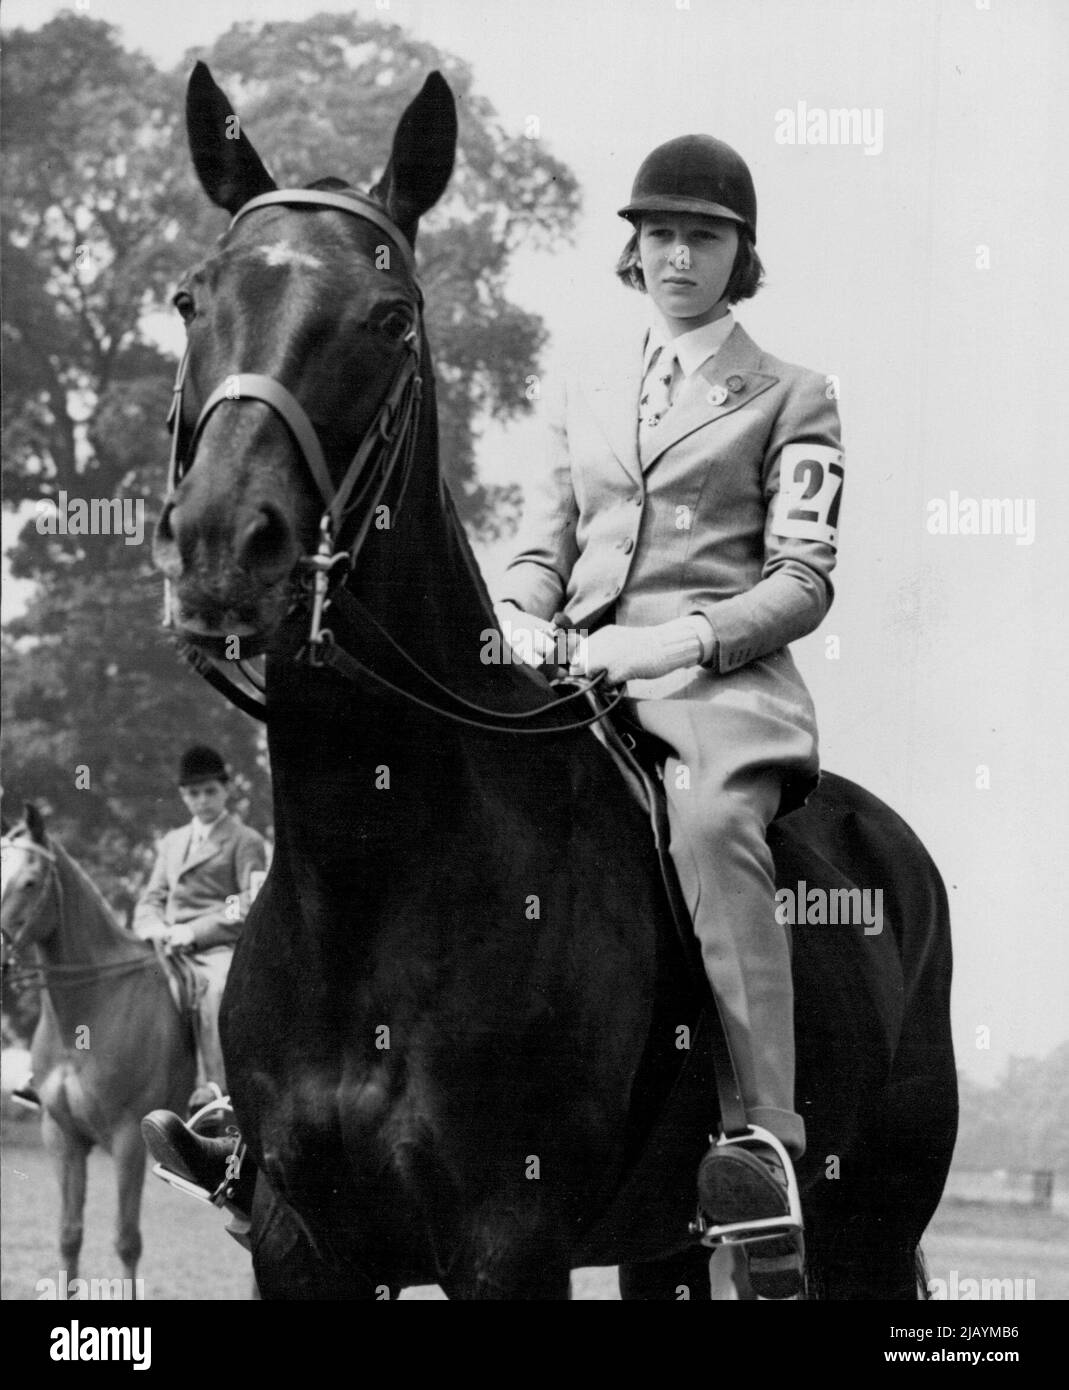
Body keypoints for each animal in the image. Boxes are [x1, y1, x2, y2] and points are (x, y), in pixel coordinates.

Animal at [152, 62, 956, 1301]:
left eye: (391, 318)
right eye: (193, 300)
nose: (221, 550)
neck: (373, 868)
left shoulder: (509, 1241)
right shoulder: (300, 1246)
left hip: (864, 1229)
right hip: (667, 1247)